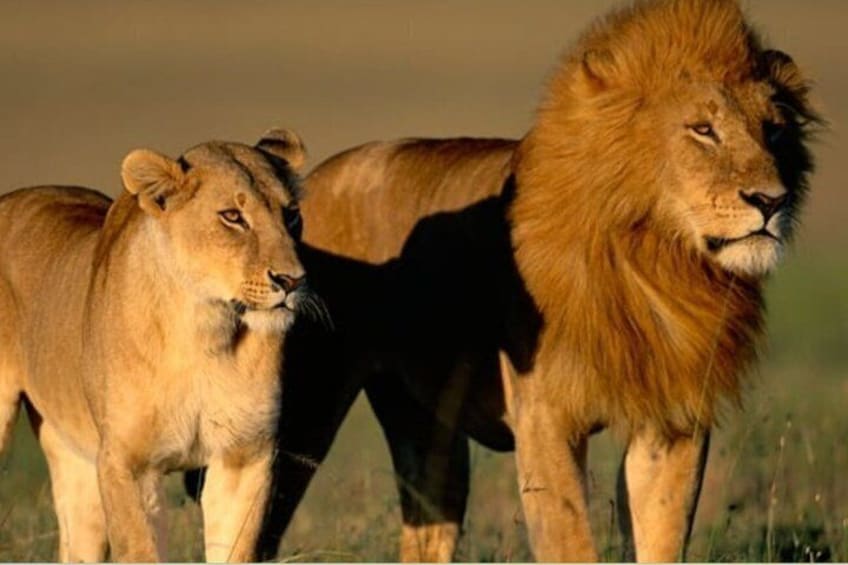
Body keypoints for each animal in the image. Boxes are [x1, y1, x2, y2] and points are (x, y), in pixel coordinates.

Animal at [0, 128, 309, 562]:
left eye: (292, 214)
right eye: (232, 216)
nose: (293, 280)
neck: (204, 331)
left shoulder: (245, 457)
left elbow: (234, 549)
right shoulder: (128, 464)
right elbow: (142, 550)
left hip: (74, 459)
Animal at [244, 0, 820, 562]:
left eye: (774, 130)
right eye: (703, 129)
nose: (771, 201)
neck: (655, 260)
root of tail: (307, 187)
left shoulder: (673, 419)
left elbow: (660, 538)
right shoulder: (544, 419)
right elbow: (570, 542)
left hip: (427, 430)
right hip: (301, 413)